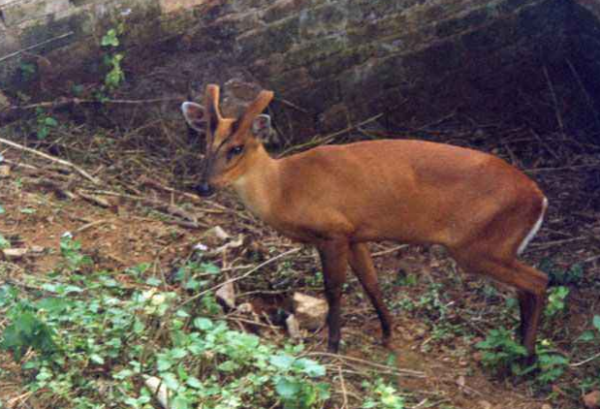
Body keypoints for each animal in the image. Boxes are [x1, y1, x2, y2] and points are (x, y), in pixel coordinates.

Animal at [182, 84, 548, 358]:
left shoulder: (333, 231)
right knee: (526, 288)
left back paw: (526, 359)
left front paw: (333, 345)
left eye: (237, 148)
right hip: (493, 248)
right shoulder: (357, 234)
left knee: (539, 280)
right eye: (206, 144)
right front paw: (387, 333)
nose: (203, 187)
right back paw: (518, 349)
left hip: (479, 245)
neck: (284, 188)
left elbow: (334, 289)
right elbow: (372, 283)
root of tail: (539, 199)